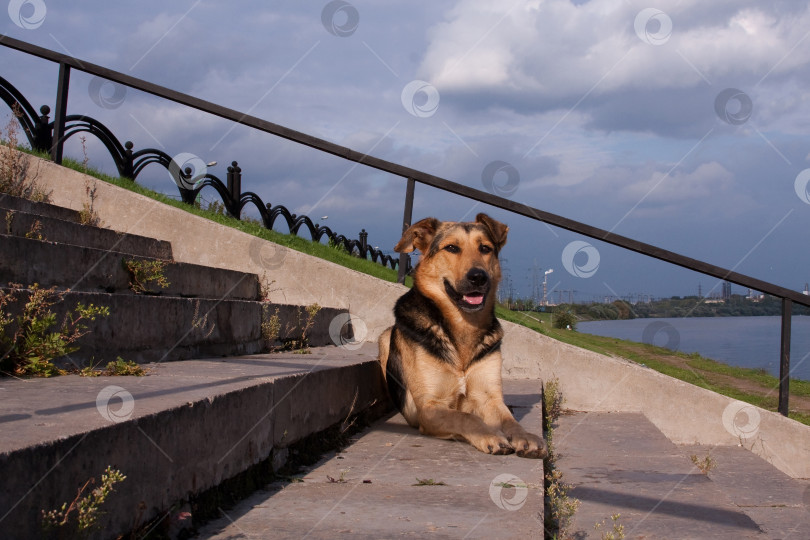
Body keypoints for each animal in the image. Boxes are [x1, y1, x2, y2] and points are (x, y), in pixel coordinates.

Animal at [378, 213, 544, 458]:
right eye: (451, 248)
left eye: (485, 248)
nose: (478, 277)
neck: (462, 325)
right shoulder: (430, 407)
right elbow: (465, 417)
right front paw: (490, 435)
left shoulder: (489, 398)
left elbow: (510, 421)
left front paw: (524, 436)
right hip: (385, 337)